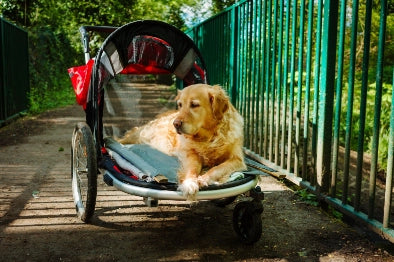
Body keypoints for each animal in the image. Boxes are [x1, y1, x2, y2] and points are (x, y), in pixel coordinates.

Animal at [117, 84, 246, 199]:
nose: (175, 124)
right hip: (140, 134)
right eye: (180, 105)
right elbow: (192, 168)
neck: (208, 137)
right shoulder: (189, 153)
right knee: (120, 139)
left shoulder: (237, 160)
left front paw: (204, 178)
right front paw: (189, 183)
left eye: (194, 105)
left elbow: (217, 168)